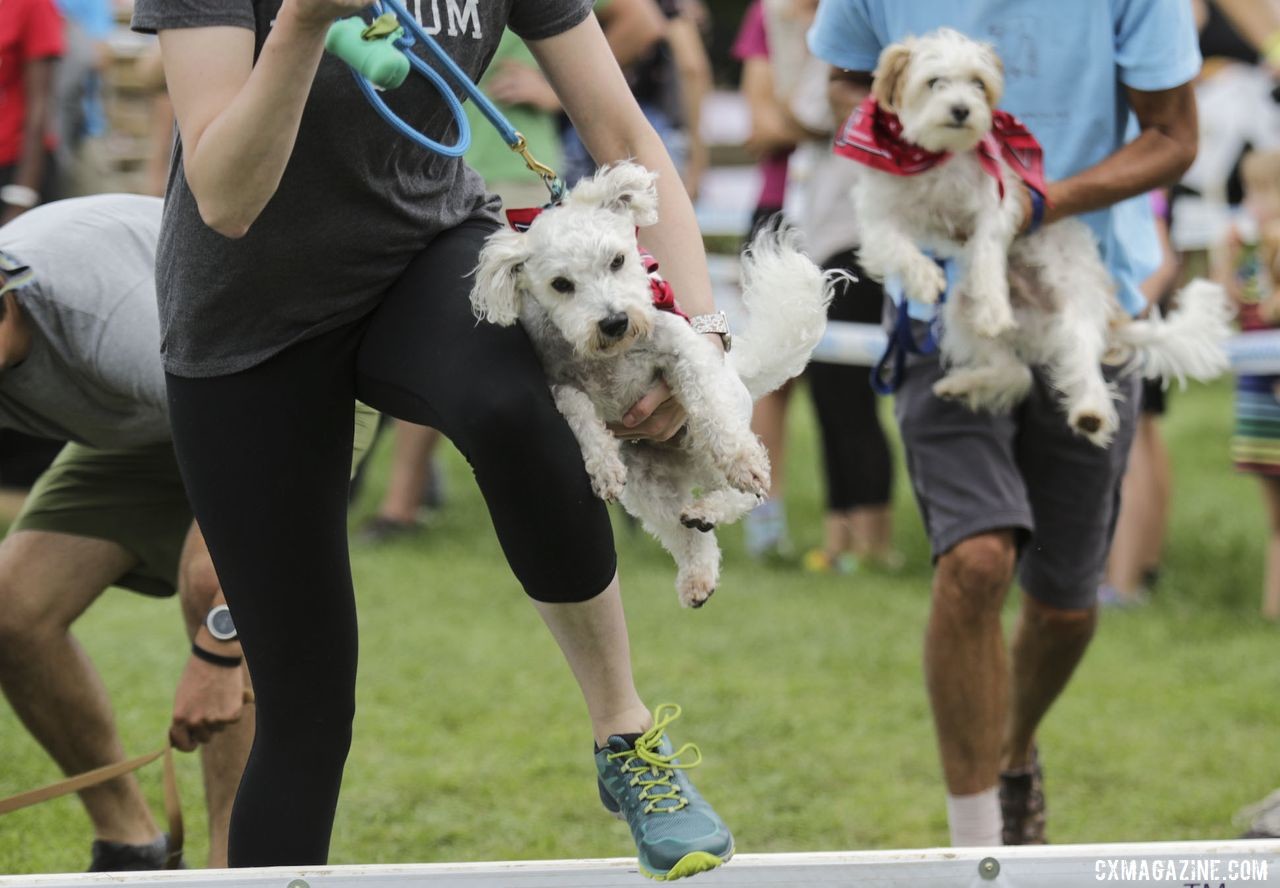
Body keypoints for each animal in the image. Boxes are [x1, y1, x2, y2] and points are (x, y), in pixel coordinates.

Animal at [471, 163, 829, 609]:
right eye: (561, 284)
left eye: (618, 260)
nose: (614, 321)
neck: (612, 355)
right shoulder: (558, 384)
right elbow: (581, 415)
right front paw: (603, 467)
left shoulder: (682, 352)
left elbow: (712, 410)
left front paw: (743, 462)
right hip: (648, 485)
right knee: (688, 534)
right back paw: (697, 572)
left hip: (699, 443)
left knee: (747, 493)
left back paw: (717, 503)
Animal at [844, 29, 1223, 445]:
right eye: (934, 82)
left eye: (978, 83)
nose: (962, 109)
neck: (934, 159)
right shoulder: (879, 214)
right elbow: (896, 245)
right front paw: (925, 277)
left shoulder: (999, 202)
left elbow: (988, 252)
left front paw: (994, 305)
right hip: (959, 312)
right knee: (1017, 374)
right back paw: (962, 384)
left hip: (1075, 299)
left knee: (1082, 358)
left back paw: (1090, 411)